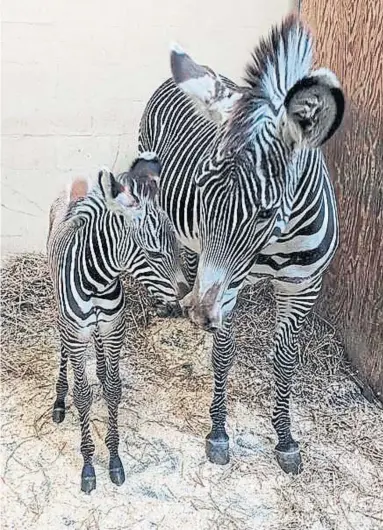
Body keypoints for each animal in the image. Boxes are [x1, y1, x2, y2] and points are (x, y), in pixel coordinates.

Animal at [47, 153, 188, 490]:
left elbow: (113, 389)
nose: (185, 294)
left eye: (176, 245)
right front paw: (88, 465)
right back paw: (59, 398)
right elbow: (82, 395)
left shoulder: (114, 329)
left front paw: (114, 458)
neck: (97, 280)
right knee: (62, 347)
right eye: (153, 253)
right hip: (63, 314)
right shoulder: (77, 334)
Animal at [140, 15, 346, 474]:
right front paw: (218, 433)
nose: (201, 315)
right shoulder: (228, 284)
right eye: (202, 193)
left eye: (266, 212)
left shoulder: (303, 288)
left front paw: (285, 438)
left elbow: (285, 360)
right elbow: (224, 353)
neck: (282, 239)